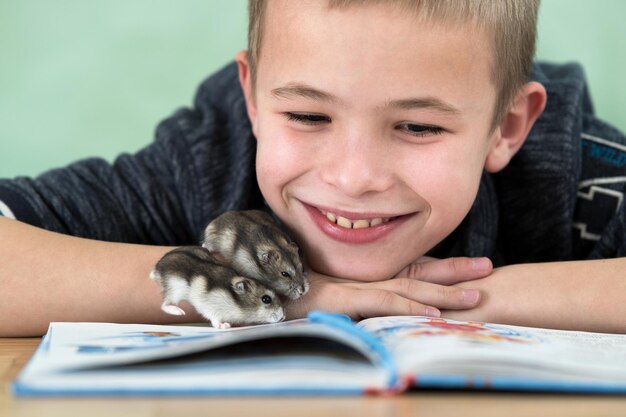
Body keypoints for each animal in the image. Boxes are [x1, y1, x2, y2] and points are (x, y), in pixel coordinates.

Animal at [149, 244, 282, 328]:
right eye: (266, 299)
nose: (283, 317)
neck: (236, 302)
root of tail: (157, 268)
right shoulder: (211, 308)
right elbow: (215, 320)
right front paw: (225, 326)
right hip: (175, 290)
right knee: (164, 305)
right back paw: (180, 312)